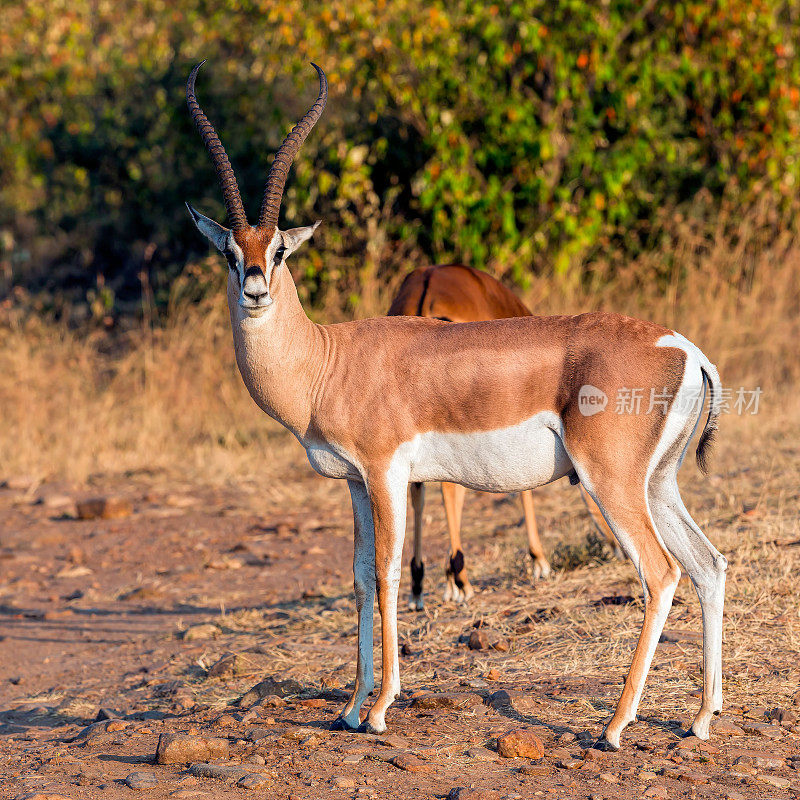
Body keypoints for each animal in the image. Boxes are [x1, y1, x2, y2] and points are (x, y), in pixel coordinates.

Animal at [388, 266, 620, 608]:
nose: (618, 546)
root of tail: (427, 290)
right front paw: (539, 561)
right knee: (448, 488)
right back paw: (461, 578)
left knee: (417, 487)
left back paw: (419, 584)